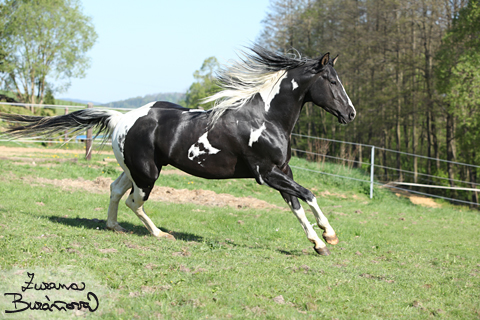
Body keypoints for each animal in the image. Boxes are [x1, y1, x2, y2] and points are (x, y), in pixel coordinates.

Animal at [0, 47, 356, 256]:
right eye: (332, 81)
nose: (351, 114)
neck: (265, 118)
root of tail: (120, 118)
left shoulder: (282, 171)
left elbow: (297, 204)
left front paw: (319, 242)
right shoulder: (266, 174)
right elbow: (308, 194)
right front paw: (330, 236)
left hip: (134, 169)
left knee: (115, 189)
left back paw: (114, 227)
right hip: (148, 173)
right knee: (134, 201)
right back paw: (161, 235)